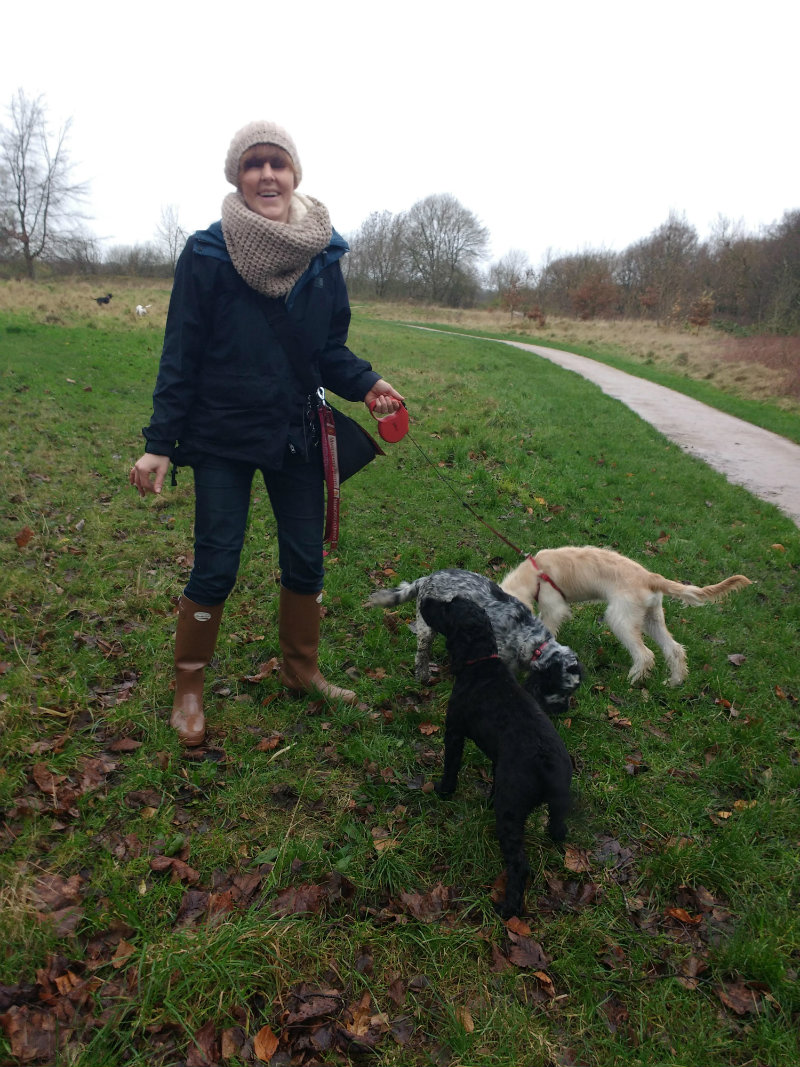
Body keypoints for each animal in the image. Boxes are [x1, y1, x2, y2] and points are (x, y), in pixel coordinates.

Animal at [367, 568, 582, 714]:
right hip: (427, 626)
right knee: (422, 653)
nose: (564, 709)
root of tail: (426, 578)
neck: (530, 639)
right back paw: (423, 675)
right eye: (560, 689)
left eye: (572, 691)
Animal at [421, 596, 572, 919]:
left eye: (447, 608)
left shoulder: (454, 731)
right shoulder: (497, 758)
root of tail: (548, 767)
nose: (425, 599)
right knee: (558, 828)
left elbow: (451, 765)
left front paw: (443, 791)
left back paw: (508, 907)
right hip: (557, 805)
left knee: (520, 865)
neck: (481, 662)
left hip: (511, 810)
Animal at [500, 546, 752, 686]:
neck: (535, 571)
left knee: (646, 654)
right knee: (675, 650)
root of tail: (652, 577)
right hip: (651, 619)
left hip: (620, 619)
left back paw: (629, 681)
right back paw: (673, 682)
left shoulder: (554, 607)